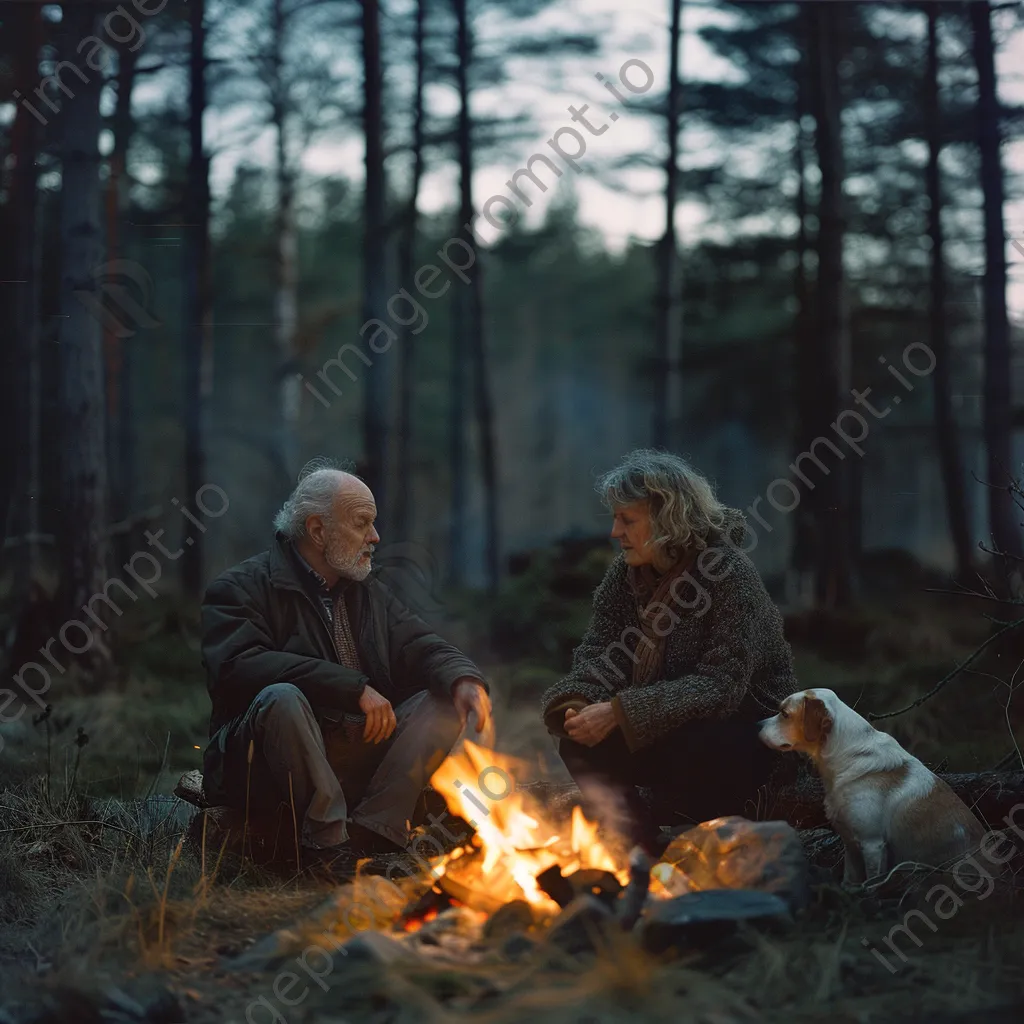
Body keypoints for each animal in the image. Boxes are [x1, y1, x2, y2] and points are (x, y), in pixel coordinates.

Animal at [761, 692, 983, 884]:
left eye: (784, 713)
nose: (756, 724)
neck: (845, 753)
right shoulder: (851, 844)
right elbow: (850, 881)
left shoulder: (872, 843)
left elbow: (871, 885)